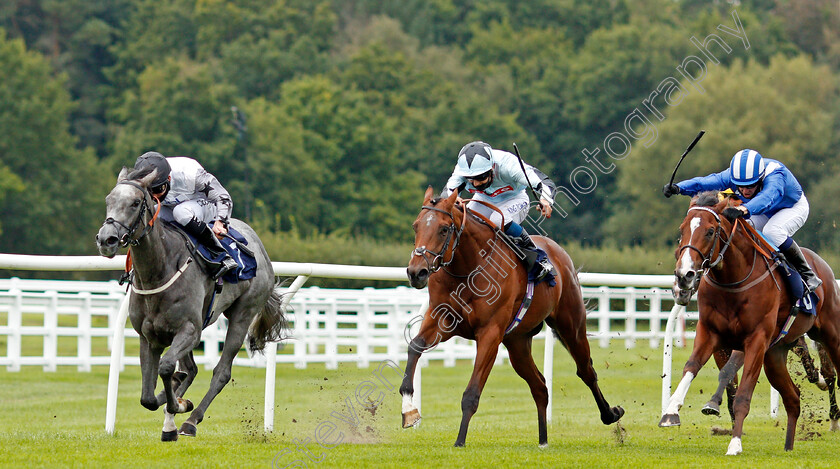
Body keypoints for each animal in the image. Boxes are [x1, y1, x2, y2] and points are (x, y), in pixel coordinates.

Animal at [96, 164, 288, 438]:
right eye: (108, 200)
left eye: (134, 203)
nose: (106, 239)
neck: (159, 271)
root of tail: (260, 248)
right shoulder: (149, 336)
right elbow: (147, 396)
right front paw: (173, 401)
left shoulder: (189, 329)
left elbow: (166, 368)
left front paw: (179, 405)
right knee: (192, 369)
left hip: (243, 314)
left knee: (221, 372)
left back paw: (190, 420)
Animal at [400, 186, 624, 446]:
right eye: (416, 226)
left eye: (444, 229)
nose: (416, 272)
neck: (469, 268)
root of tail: (559, 252)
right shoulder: (442, 320)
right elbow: (415, 346)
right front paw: (408, 409)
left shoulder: (490, 333)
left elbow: (472, 393)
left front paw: (459, 441)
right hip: (517, 343)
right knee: (540, 386)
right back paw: (543, 440)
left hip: (572, 327)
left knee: (586, 371)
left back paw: (610, 414)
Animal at [660, 190, 840, 454]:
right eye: (682, 230)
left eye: (710, 231)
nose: (684, 276)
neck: (732, 281)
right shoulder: (711, 333)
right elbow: (693, 367)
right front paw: (671, 411)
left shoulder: (755, 340)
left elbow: (742, 392)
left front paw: (735, 443)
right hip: (774, 356)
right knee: (793, 397)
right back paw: (788, 446)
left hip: (830, 335)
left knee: (831, 371)